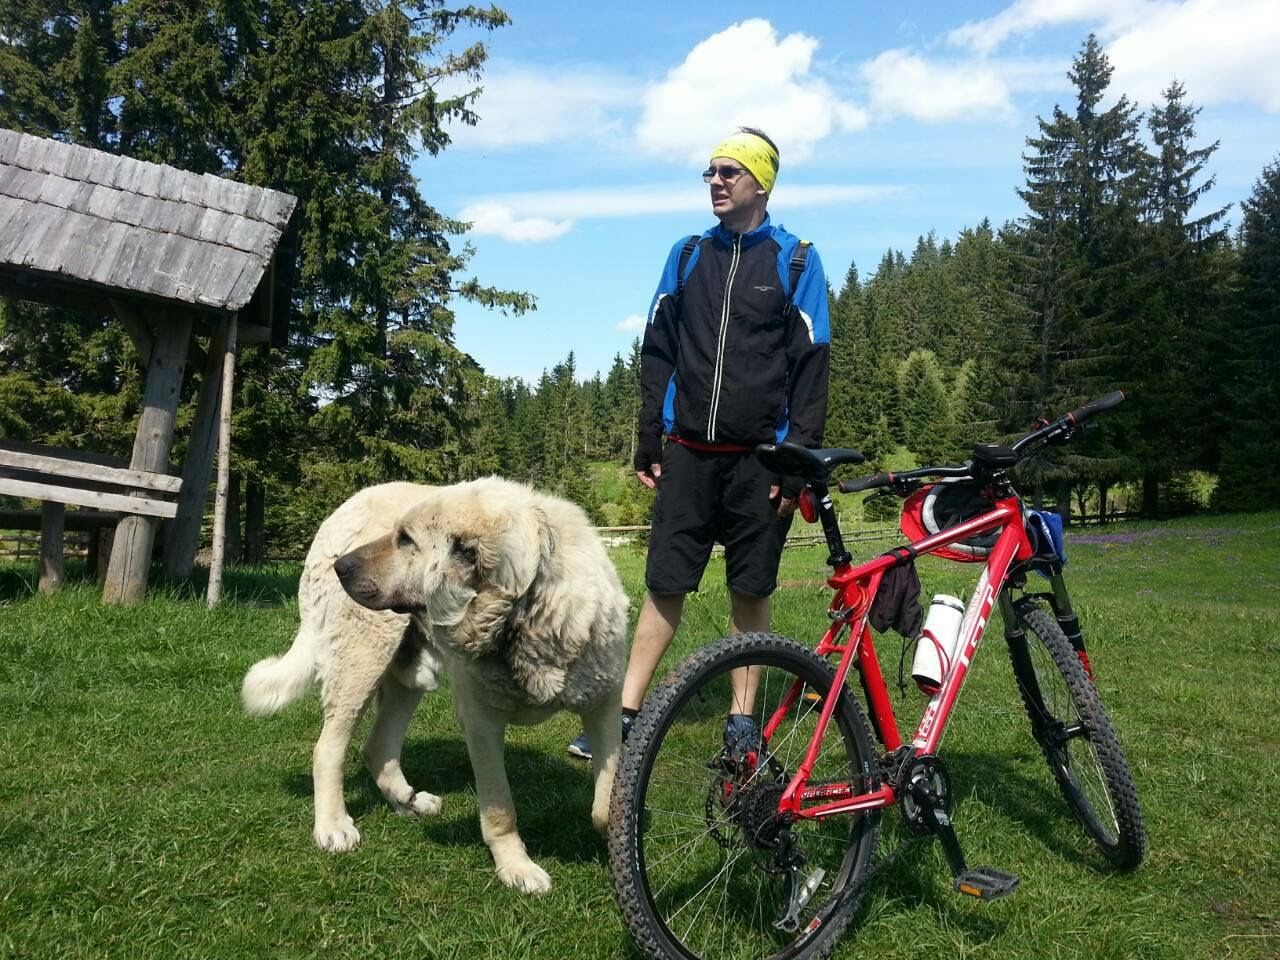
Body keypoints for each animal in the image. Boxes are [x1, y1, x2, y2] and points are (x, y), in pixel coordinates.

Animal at [241, 476, 627, 894]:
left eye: (406, 540)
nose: (340, 566)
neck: (522, 617)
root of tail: (338, 515)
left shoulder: (604, 706)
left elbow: (606, 800)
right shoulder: (482, 723)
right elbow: (500, 809)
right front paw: (517, 867)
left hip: (409, 678)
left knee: (377, 747)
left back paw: (408, 801)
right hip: (362, 660)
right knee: (328, 749)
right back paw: (333, 826)